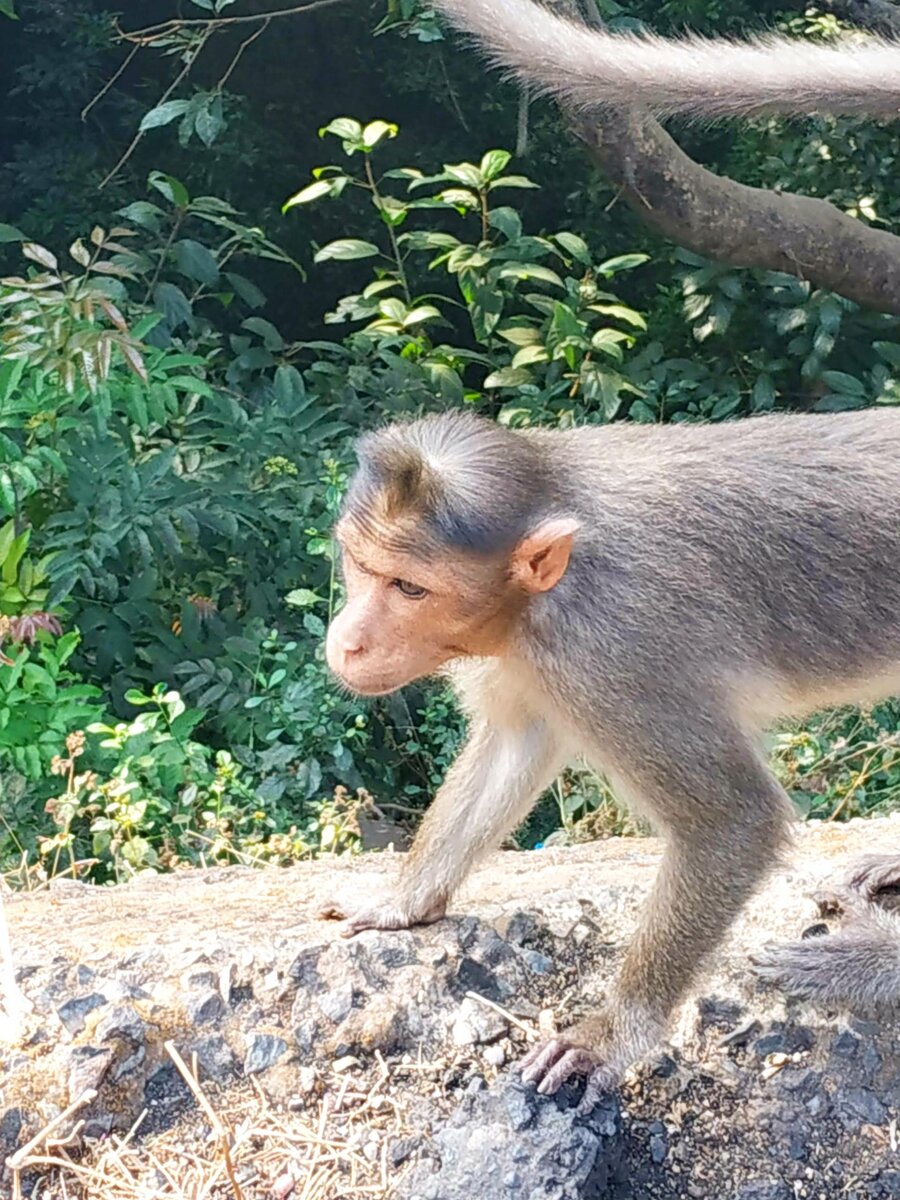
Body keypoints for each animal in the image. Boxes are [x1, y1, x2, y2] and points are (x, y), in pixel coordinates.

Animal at [321, 408, 900, 1108]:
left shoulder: (614, 650)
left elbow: (734, 820)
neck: (541, 596)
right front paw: (401, 901)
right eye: (358, 563)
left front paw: (612, 1032)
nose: (347, 641)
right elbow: (515, 744)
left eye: (408, 587)